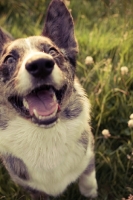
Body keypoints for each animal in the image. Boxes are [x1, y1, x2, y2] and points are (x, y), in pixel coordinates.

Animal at [0, 0, 97, 199]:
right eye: (9, 59)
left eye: (52, 51)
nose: (40, 65)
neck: (45, 134)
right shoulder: (32, 188)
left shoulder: (89, 154)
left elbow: (88, 180)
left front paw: (91, 193)